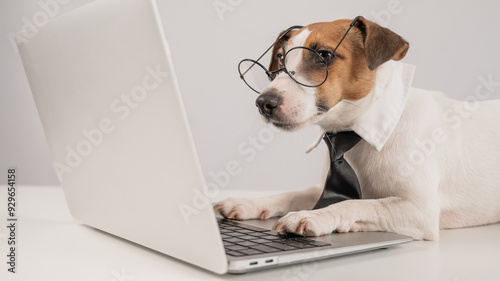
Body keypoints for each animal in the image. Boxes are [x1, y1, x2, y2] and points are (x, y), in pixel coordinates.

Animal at [213, 16, 498, 240]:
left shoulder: (419, 211)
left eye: (324, 55)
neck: (352, 135)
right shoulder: (319, 189)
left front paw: (313, 216)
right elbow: (295, 193)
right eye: (281, 59)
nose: (263, 103)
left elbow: (356, 205)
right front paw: (248, 202)